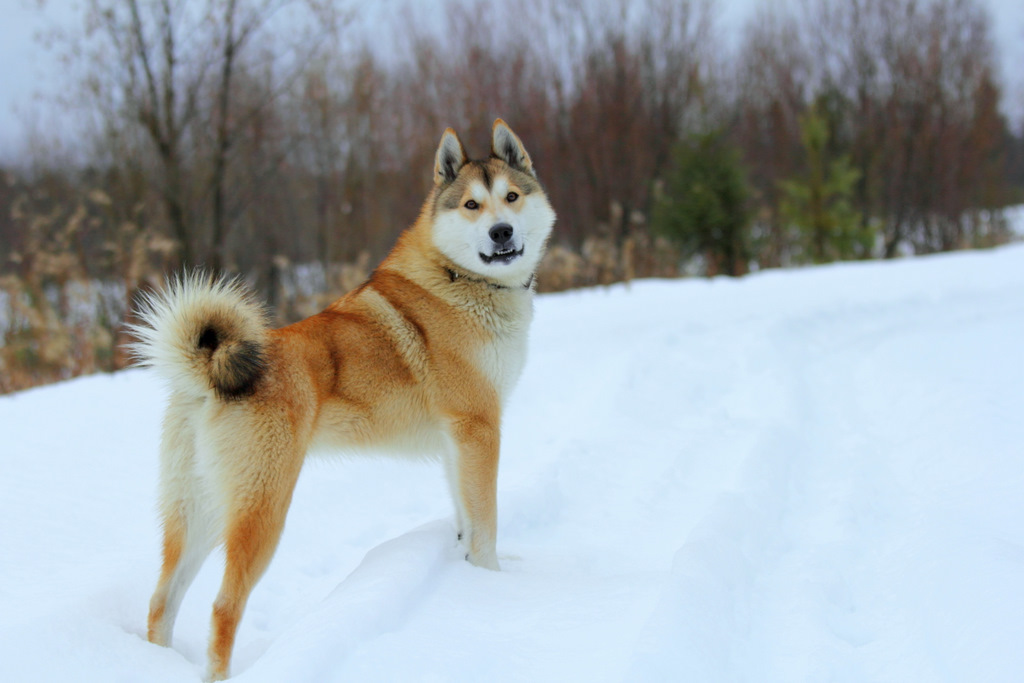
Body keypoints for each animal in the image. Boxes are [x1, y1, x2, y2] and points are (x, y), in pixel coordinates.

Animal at [134, 120, 561, 679]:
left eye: (511, 197)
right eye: (472, 205)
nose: (501, 232)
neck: (459, 279)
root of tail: (207, 373)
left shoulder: (456, 443)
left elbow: (466, 521)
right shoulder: (479, 429)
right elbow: (485, 525)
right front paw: (491, 585)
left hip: (201, 509)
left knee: (162, 600)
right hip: (262, 509)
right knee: (223, 607)